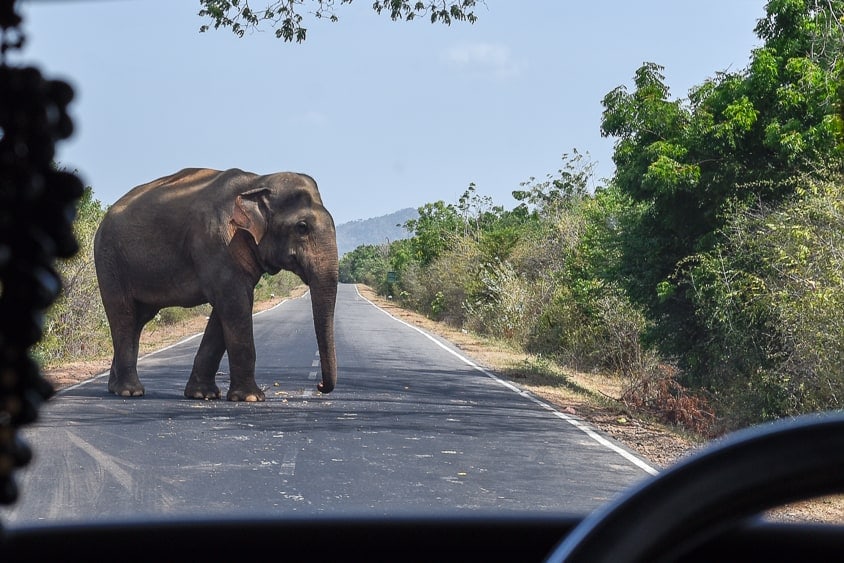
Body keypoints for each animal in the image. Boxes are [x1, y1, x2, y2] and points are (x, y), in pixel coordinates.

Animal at [94, 167, 338, 400]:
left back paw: (114, 387)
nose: (319, 385)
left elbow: (230, 308)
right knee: (123, 314)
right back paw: (130, 391)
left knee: (138, 319)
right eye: (302, 227)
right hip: (109, 261)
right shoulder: (216, 242)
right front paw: (251, 397)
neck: (256, 182)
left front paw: (203, 395)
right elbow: (235, 302)